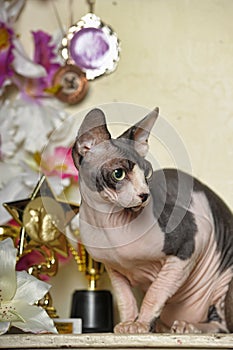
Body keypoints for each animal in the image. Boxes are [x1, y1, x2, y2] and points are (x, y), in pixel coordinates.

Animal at [71, 107, 233, 334]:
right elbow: (125, 298)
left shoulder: (194, 238)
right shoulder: (113, 269)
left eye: (147, 174)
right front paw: (127, 323)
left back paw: (189, 326)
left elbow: (155, 292)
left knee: (221, 325)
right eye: (118, 173)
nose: (144, 195)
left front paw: (140, 324)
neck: (108, 221)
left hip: (224, 282)